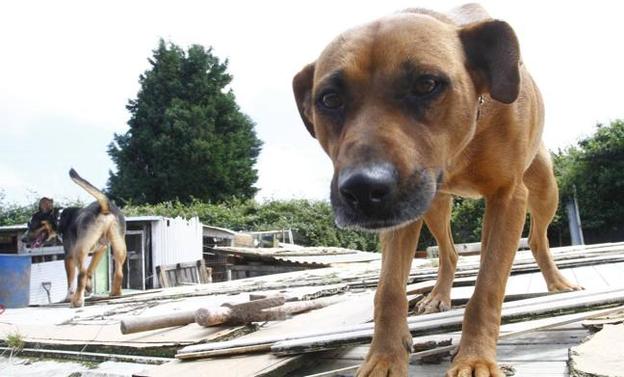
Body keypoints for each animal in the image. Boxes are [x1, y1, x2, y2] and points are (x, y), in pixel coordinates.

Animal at [292, 3, 580, 376]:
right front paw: (384, 357)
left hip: (545, 190)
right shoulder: (400, 216)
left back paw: (557, 282)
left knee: (535, 238)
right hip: (434, 206)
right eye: (329, 99)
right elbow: (388, 290)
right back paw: (439, 295)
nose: (363, 189)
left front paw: (474, 358)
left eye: (427, 84)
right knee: (450, 252)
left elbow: (488, 287)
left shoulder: (508, 195)